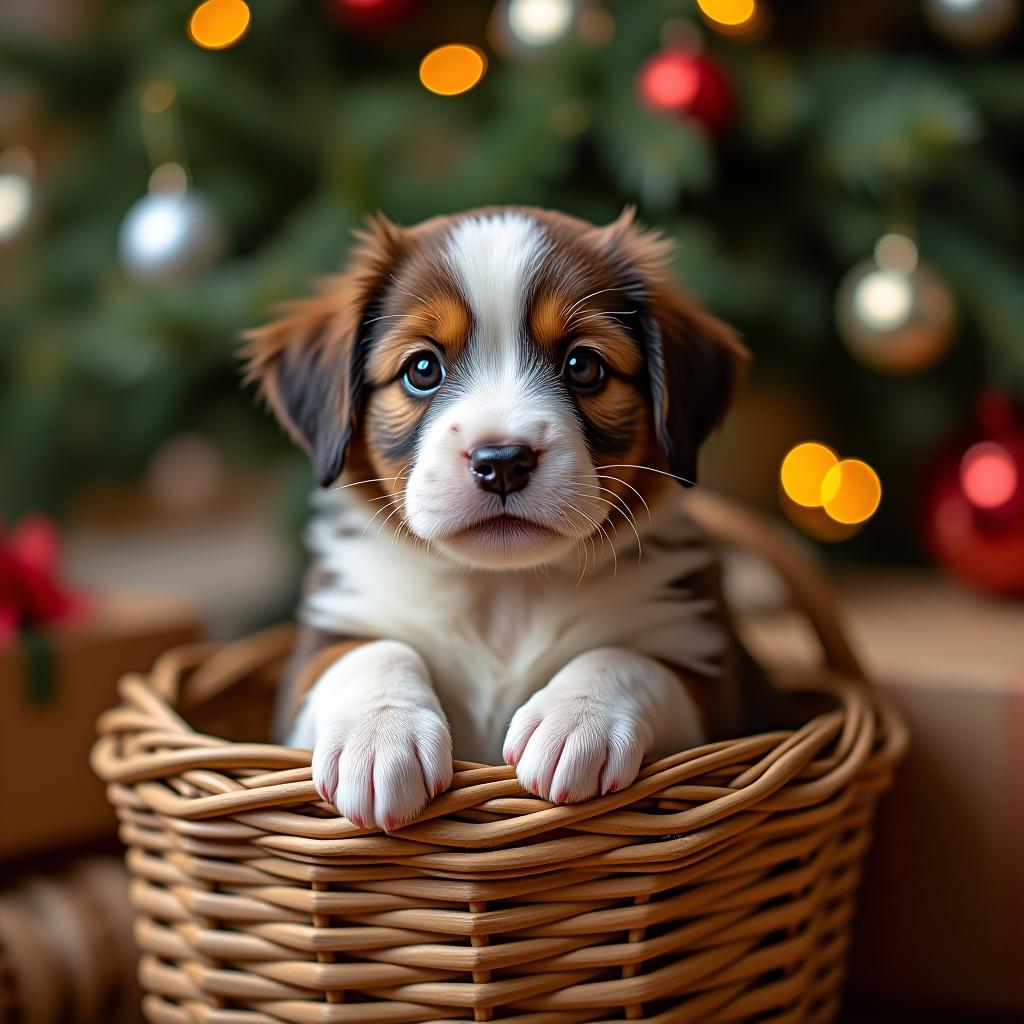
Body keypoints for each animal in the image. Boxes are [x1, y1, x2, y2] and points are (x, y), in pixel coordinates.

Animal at [245, 205, 761, 831]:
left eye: (583, 366)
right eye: (423, 368)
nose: (502, 462)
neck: (503, 594)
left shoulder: (719, 689)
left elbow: (628, 657)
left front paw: (575, 718)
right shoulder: (314, 659)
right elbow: (369, 651)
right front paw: (379, 735)